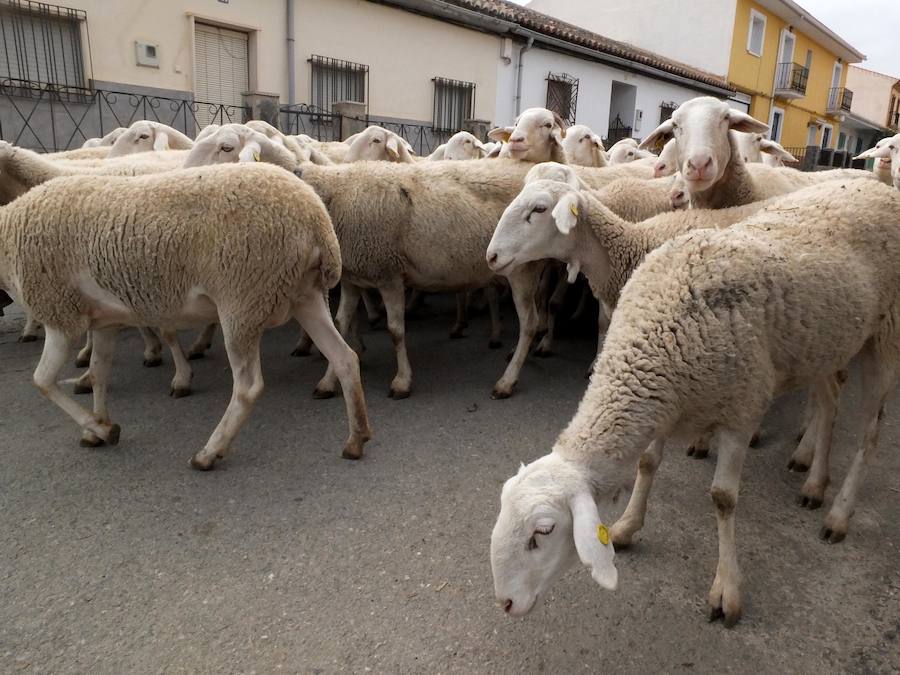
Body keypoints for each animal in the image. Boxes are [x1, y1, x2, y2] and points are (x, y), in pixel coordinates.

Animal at [0, 164, 370, 470]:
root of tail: (317, 219)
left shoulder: (61, 315)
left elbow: (43, 381)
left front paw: (100, 428)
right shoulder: (104, 320)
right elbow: (99, 373)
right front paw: (99, 426)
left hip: (243, 300)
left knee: (249, 386)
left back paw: (209, 452)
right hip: (303, 295)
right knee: (345, 358)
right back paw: (356, 439)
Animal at [492, 178, 900, 624]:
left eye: (543, 532)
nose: (505, 603)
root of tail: (872, 185)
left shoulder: (742, 407)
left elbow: (723, 498)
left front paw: (727, 588)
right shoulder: (662, 394)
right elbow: (647, 463)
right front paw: (628, 525)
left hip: (884, 334)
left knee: (869, 432)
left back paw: (838, 512)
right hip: (826, 342)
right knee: (829, 407)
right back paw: (813, 478)